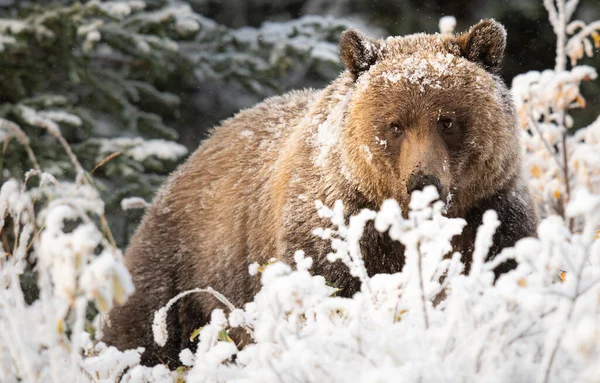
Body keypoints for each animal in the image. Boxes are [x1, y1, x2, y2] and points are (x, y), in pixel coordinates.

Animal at [102, 19, 536, 368]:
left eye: (447, 121)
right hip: (185, 267)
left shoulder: (491, 213)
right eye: (395, 125)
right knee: (143, 334)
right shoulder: (330, 227)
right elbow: (325, 293)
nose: (423, 183)